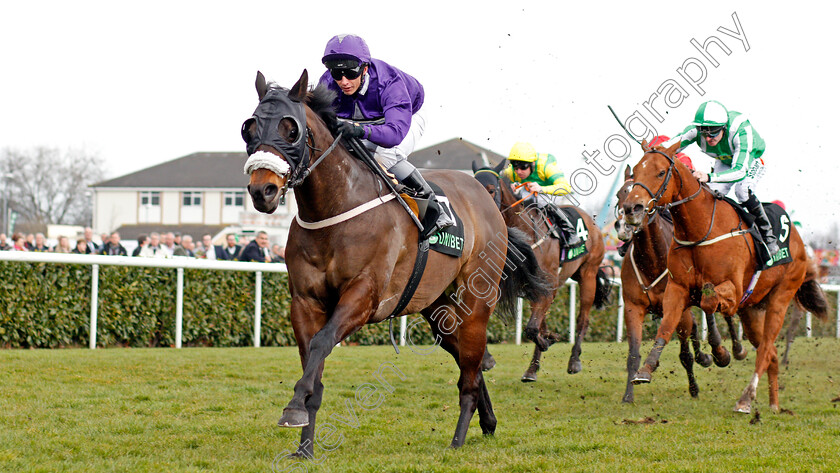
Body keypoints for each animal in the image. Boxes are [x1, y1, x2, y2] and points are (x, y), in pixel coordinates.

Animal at [241, 70, 552, 450]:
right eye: (249, 128)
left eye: (291, 129)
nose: (263, 190)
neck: (333, 209)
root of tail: (488, 201)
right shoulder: (304, 301)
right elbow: (312, 361)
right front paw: (304, 445)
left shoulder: (364, 295)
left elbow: (321, 343)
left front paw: (294, 408)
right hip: (436, 306)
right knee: (471, 362)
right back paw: (488, 421)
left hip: (477, 300)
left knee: (471, 367)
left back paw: (458, 439)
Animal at [472, 160, 612, 382]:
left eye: (491, 190)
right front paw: (487, 359)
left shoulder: (546, 287)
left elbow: (531, 328)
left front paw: (547, 342)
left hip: (588, 274)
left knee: (582, 320)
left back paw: (574, 361)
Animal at [624, 138, 828, 412]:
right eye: (635, 171)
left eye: (660, 172)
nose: (631, 208)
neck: (699, 230)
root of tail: (797, 237)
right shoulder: (676, 288)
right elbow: (667, 325)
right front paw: (646, 368)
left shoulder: (733, 288)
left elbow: (709, 300)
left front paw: (720, 352)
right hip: (753, 311)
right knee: (771, 353)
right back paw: (773, 405)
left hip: (781, 296)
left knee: (765, 349)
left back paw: (746, 398)